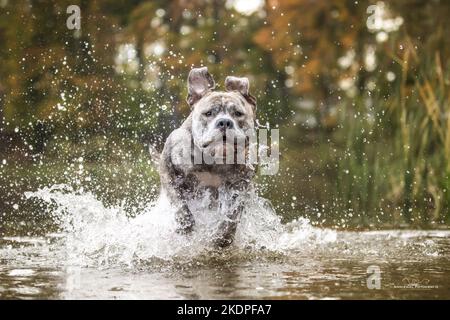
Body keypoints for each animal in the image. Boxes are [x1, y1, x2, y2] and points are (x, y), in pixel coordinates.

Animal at [158, 67, 256, 248]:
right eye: (208, 113)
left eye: (238, 113)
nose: (224, 122)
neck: (214, 160)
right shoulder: (167, 167)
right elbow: (178, 201)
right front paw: (185, 224)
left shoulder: (240, 184)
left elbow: (232, 215)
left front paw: (222, 237)